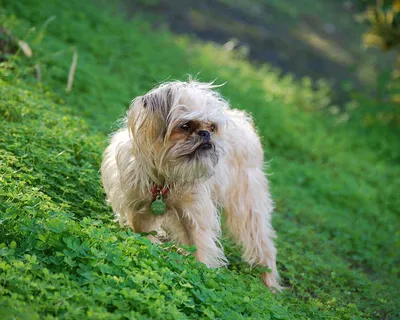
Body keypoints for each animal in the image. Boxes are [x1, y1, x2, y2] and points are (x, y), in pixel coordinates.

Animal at [100, 80, 282, 290]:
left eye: (212, 127)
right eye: (185, 126)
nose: (205, 133)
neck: (165, 177)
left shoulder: (195, 215)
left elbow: (199, 247)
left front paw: (200, 271)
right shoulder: (139, 210)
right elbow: (143, 232)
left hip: (247, 204)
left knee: (262, 242)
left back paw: (270, 283)